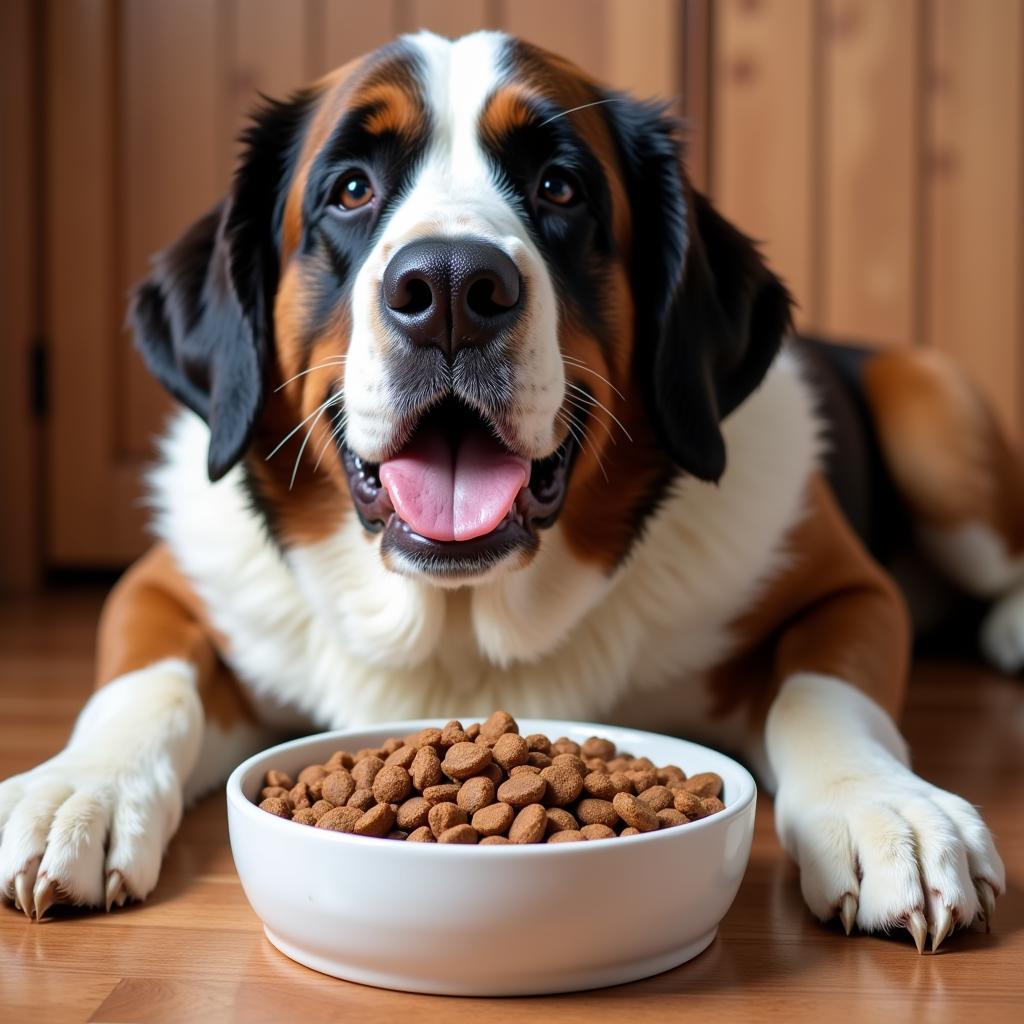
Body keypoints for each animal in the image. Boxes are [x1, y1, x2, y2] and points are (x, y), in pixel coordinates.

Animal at [0, 29, 1011, 950]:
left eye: (561, 187)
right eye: (351, 189)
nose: (450, 286)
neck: (465, 624)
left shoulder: (843, 590)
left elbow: (825, 694)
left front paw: (888, 807)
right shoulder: (167, 589)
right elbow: (144, 687)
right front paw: (73, 791)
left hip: (930, 407)